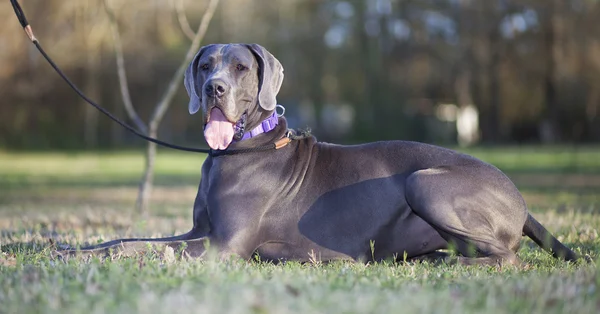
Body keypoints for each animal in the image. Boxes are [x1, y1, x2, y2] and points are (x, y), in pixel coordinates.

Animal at [58, 43, 580, 264]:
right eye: (205, 64)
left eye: (241, 67)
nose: (213, 88)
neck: (238, 150)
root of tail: (522, 202)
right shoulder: (197, 230)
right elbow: (128, 238)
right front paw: (68, 248)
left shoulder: (224, 245)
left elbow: (142, 246)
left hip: (424, 181)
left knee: (507, 257)